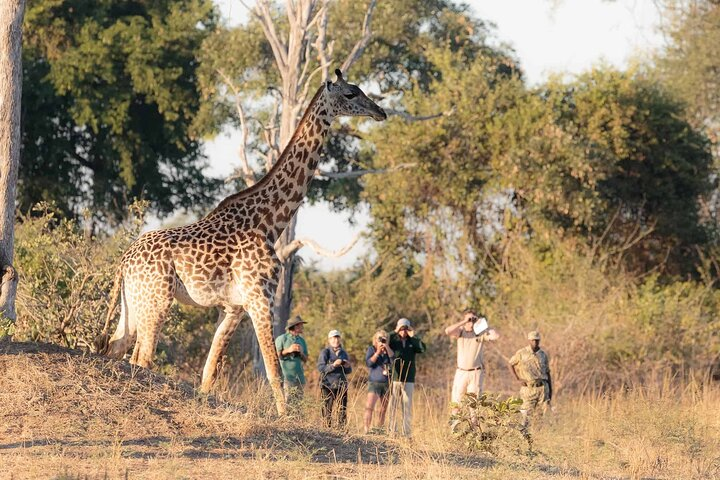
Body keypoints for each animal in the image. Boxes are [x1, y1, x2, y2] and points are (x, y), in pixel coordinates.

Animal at [98, 69, 386, 414]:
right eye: (351, 94)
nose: (380, 112)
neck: (271, 223)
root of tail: (124, 260)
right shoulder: (260, 297)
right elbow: (274, 370)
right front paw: (284, 418)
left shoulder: (233, 307)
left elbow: (209, 372)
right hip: (157, 299)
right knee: (142, 358)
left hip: (133, 301)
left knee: (117, 349)